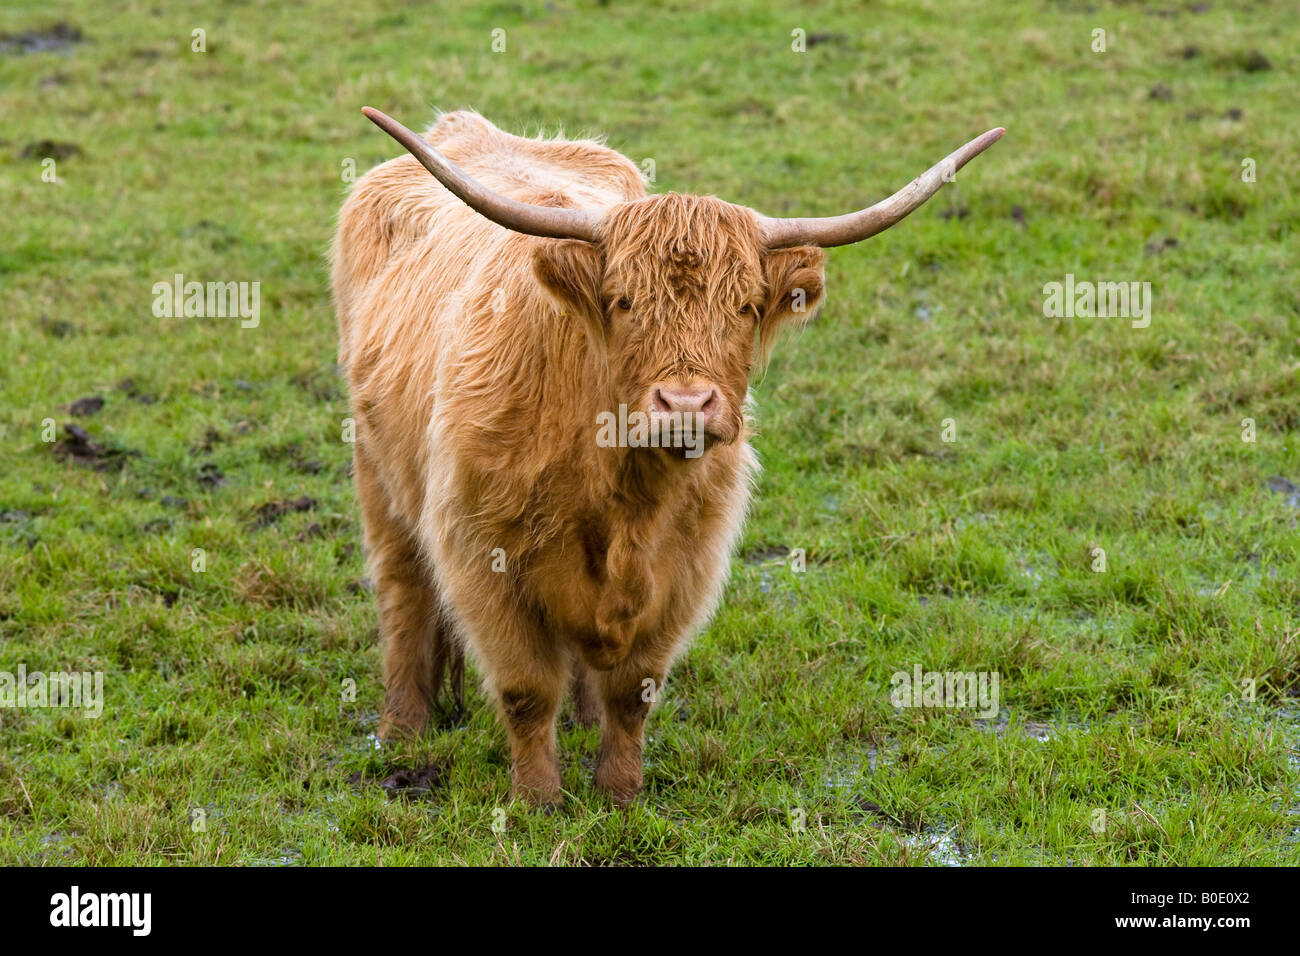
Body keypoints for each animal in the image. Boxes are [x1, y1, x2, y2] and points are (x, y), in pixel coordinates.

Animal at [331, 106, 1003, 806]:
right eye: (625, 301)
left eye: (744, 306)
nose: (685, 404)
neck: (619, 492)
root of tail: (466, 126)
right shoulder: (479, 554)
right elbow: (526, 689)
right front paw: (538, 800)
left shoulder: (687, 565)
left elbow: (633, 691)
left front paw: (619, 792)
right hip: (378, 475)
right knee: (403, 592)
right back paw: (402, 730)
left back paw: (581, 720)